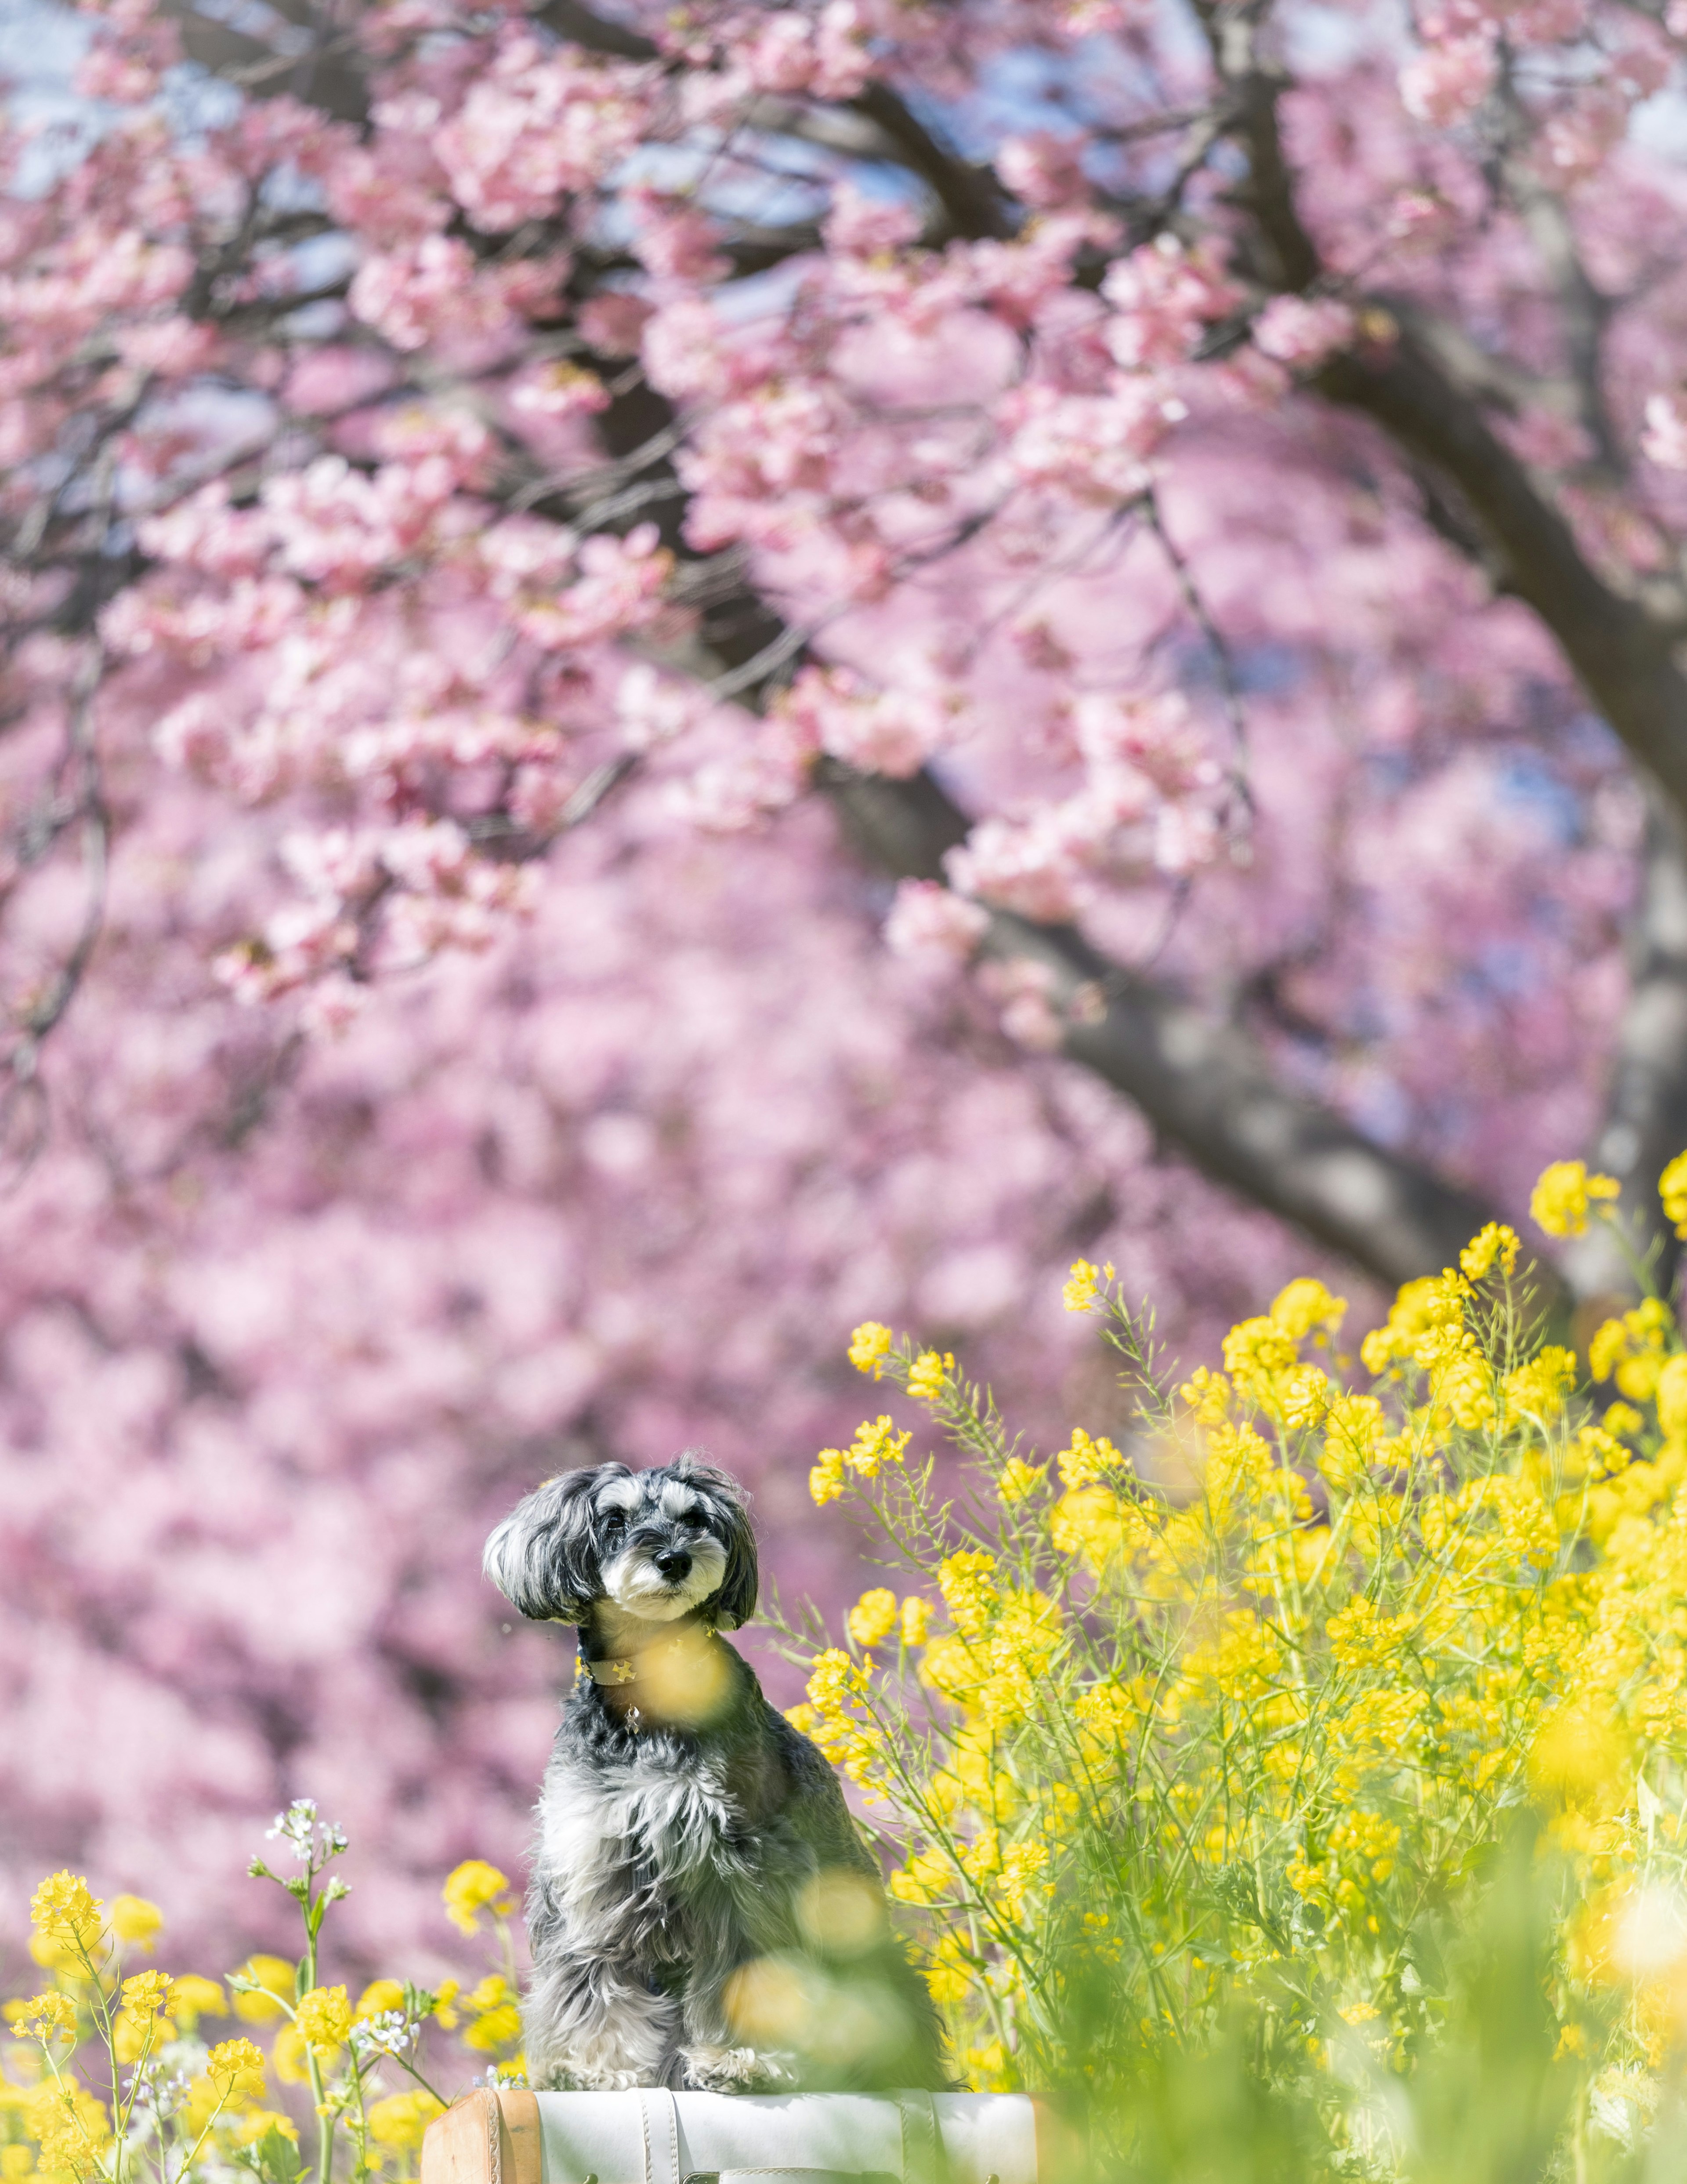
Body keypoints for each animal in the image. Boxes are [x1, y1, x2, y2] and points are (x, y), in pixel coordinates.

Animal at [484, 1458, 947, 2088]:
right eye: (614, 1518)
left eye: (695, 1517)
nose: (675, 1558)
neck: (650, 1694)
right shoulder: (595, 1861)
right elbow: (589, 1972)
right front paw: (590, 2067)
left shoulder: (738, 1868)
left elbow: (746, 1968)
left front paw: (740, 2059)